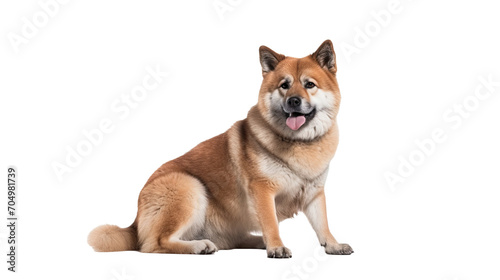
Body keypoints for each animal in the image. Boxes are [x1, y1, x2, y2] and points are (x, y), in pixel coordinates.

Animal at [91, 40, 356, 258]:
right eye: (284, 85)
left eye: (309, 85)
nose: (293, 101)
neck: (299, 142)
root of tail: (135, 222)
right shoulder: (263, 190)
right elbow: (271, 222)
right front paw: (277, 247)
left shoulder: (314, 192)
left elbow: (323, 224)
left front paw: (333, 245)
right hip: (188, 187)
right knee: (155, 243)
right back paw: (200, 246)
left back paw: (255, 241)